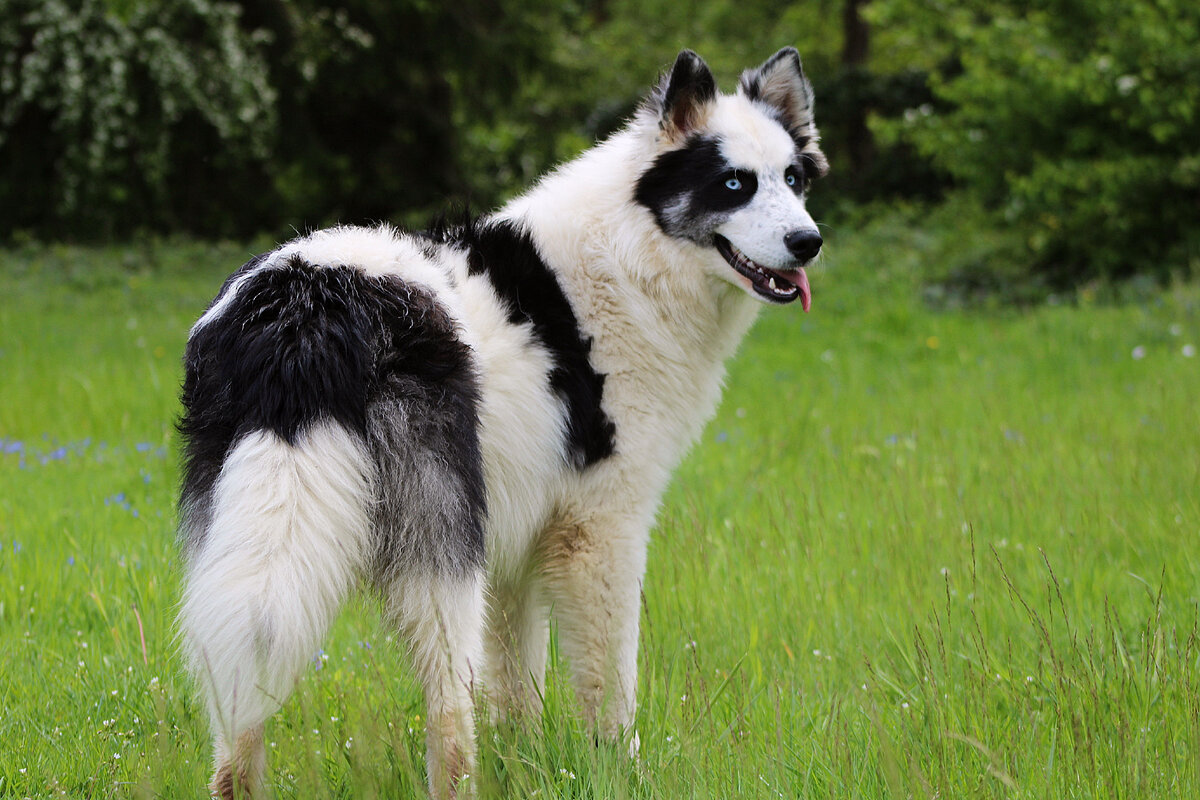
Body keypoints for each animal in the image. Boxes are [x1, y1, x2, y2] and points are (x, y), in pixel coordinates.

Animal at [177, 50, 830, 800]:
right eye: (733, 184)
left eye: (793, 179)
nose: (808, 242)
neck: (631, 252)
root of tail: (308, 304)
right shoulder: (600, 533)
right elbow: (609, 687)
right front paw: (620, 770)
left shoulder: (516, 550)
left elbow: (518, 691)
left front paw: (528, 765)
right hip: (439, 560)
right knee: (448, 718)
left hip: (250, 551)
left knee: (239, 719)